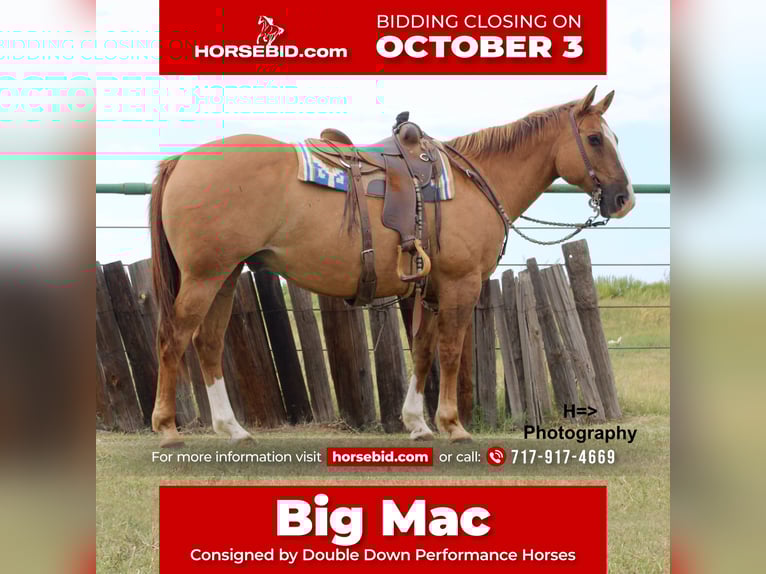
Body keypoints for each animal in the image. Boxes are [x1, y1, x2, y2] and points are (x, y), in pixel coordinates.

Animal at [149, 86, 635, 447]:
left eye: (615, 138)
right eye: (595, 139)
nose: (623, 199)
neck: (473, 183)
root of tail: (181, 160)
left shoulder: (431, 291)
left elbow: (422, 352)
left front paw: (418, 423)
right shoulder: (460, 285)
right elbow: (450, 351)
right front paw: (453, 425)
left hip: (225, 274)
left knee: (208, 344)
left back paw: (233, 429)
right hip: (205, 276)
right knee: (174, 340)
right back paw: (168, 429)